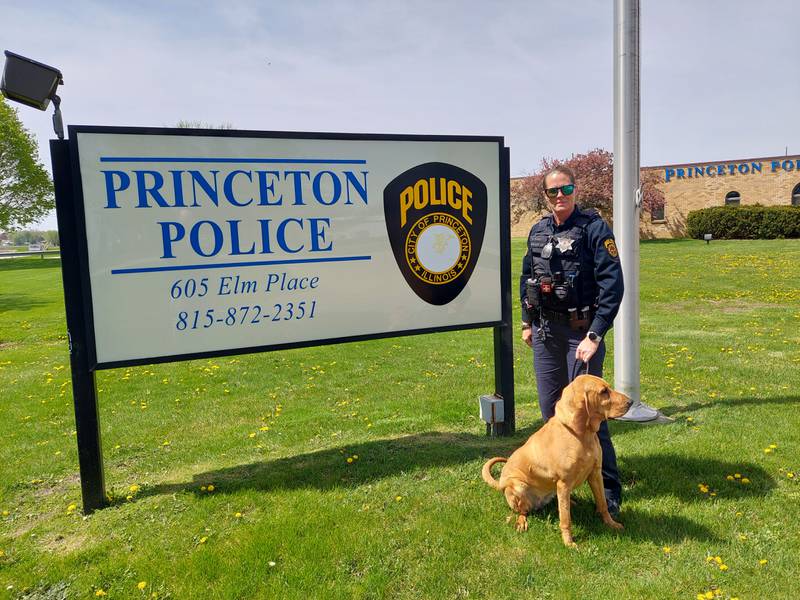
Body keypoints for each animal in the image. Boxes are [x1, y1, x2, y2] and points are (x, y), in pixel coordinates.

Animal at [482, 376, 632, 548]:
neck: (581, 435)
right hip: (519, 486)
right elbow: (566, 520)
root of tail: (500, 483)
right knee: (523, 511)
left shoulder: (595, 474)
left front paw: (611, 523)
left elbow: (603, 504)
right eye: (603, 391)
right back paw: (522, 521)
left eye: (608, 387)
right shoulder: (564, 483)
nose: (631, 402)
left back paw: (572, 502)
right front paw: (569, 542)